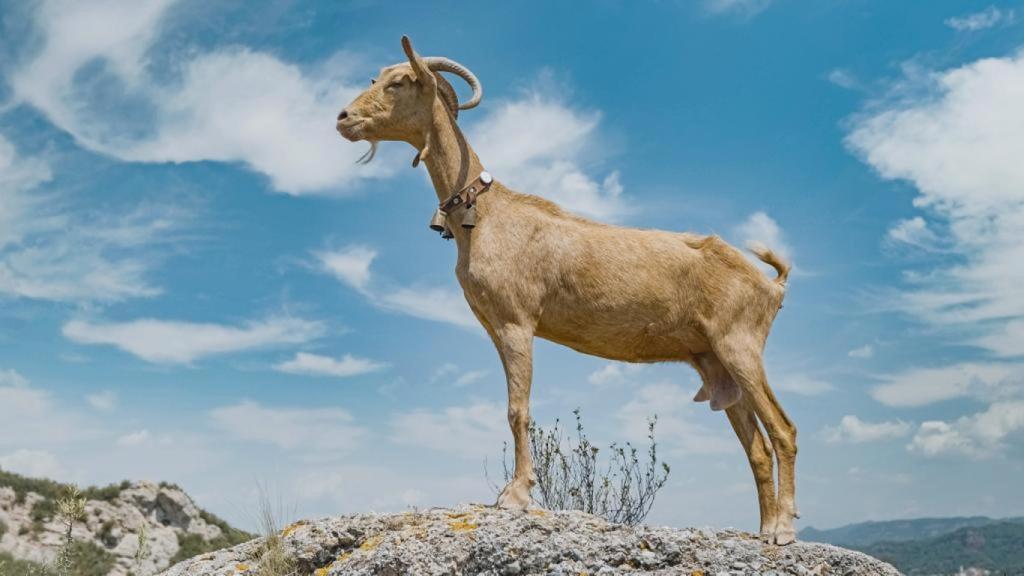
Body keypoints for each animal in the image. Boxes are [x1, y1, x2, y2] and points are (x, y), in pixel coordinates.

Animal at [336, 36, 798, 545]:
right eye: (375, 77)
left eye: (399, 81)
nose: (343, 118)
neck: (485, 214)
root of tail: (771, 284)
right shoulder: (495, 326)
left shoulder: (517, 320)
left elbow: (517, 409)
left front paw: (515, 495)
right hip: (716, 363)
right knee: (756, 448)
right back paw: (764, 529)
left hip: (740, 344)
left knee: (784, 430)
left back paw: (783, 529)